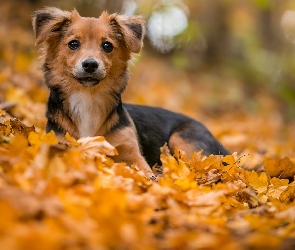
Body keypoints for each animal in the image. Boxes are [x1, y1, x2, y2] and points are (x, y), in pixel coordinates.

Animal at [33, 6, 231, 181]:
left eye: (107, 45)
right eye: (73, 44)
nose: (90, 64)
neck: (88, 98)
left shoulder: (131, 151)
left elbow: (144, 171)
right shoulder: (62, 142)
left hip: (182, 139)